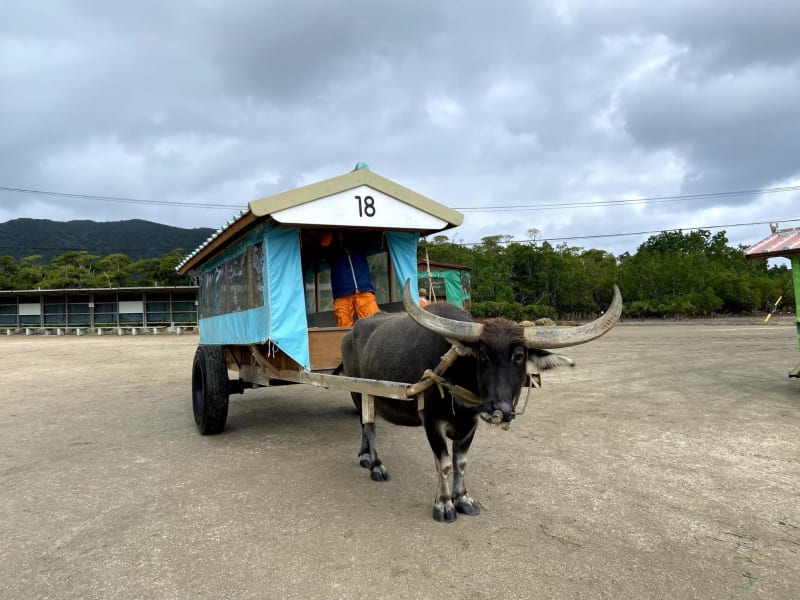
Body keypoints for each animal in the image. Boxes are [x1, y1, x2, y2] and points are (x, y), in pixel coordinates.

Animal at [340, 282, 620, 520]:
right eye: (483, 355)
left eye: (520, 356)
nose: (502, 410)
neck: (456, 377)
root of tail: (351, 332)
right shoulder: (431, 421)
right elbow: (444, 464)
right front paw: (444, 504)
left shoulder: (470, 423)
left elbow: (461, 462)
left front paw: (463, 499)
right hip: (360, 392)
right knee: (369, 425)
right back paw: (376, 465)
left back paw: (365, 457)